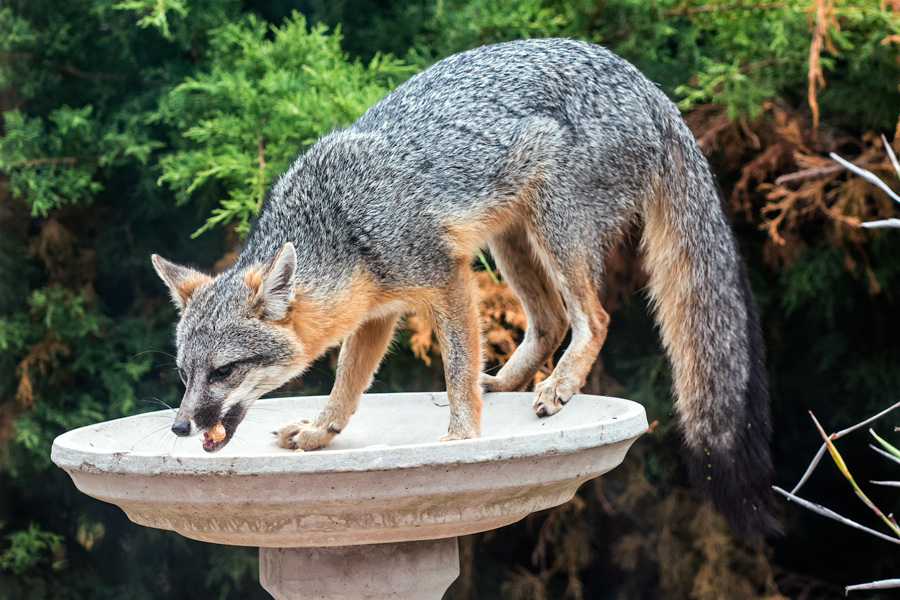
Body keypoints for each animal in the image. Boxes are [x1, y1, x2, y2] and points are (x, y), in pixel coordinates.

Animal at [152, 38, 778, 537]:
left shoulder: (446, 278)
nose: (180, 426)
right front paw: (317, 432)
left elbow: (453, 370)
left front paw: (460, 438)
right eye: (184, 374)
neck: (341, 223)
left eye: (224, 371)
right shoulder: (379, 312)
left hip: (553, 231)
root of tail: (652, 90)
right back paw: (505, 382)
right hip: (511, 241)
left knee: (593, 318)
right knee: (551, 320)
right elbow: (347, 387)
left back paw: (560, 384)